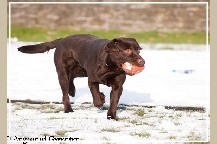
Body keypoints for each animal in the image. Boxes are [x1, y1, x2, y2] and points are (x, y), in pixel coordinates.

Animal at [17, 33, 145, 119]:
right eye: (127, 50)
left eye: (138, 50)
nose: (142, 62)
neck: (110, 67)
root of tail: (62, 39)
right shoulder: (92, 81)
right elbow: (97, 100)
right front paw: (101, 98)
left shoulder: (117, 86)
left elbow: (114, 102)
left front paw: (111, 117)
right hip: (62, 73)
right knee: (65, 94)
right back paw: (68, 109)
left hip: (81, 70)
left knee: (72, 78)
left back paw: (72, 90)